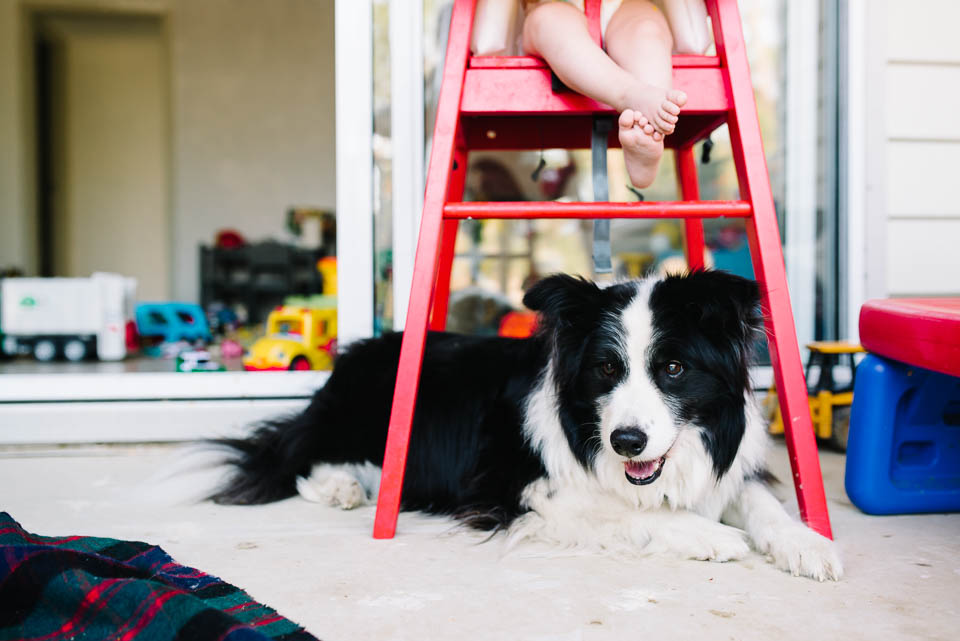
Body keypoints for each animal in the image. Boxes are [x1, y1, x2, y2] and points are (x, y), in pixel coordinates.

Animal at [208, 270, 840, 580]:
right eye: (606, 369)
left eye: (674, 368)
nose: (625, 441)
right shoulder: (518, 487)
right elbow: (623, 511)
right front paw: (713, 537)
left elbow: (761, 504)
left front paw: (808, 546)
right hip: (364, 415)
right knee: (296, 453)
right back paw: (342, 485)